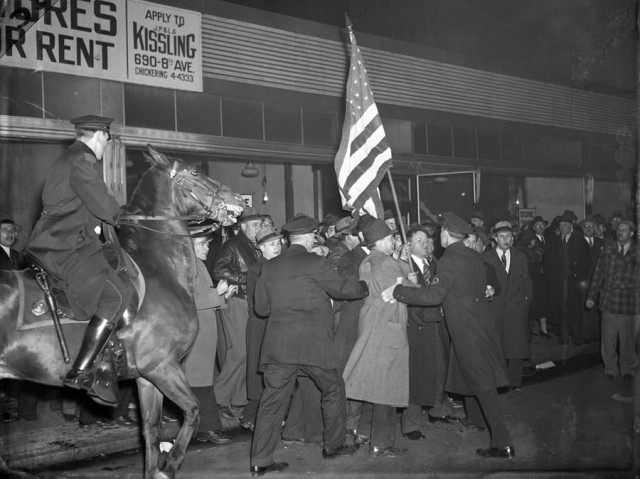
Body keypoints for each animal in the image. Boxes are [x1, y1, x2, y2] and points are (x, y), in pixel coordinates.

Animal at [0, 146, 242, 479]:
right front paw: (170, 465)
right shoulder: (162, 366)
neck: (160, 269)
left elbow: (151, 431)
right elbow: (193, 412)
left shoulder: (147, 377)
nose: (239, 200)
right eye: (194, 172)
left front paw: (157, 468)